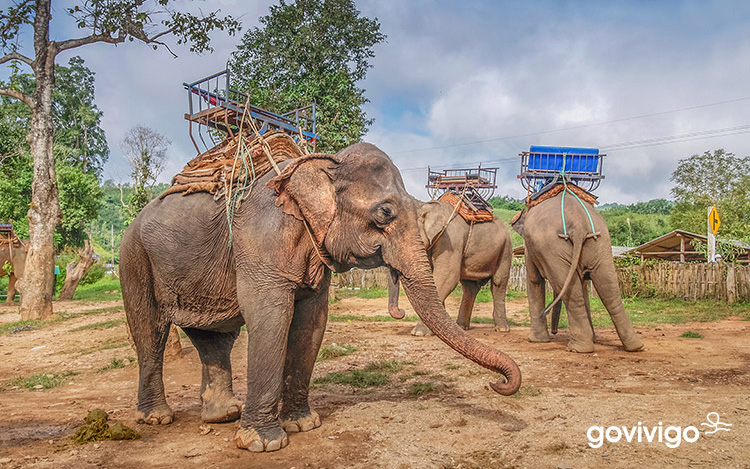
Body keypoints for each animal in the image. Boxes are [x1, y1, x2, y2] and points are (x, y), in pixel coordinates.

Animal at [388, 199, 516, 334]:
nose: (401, 312)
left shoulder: (450, 241)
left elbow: (446, 277)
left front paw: (419, 332)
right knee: (469, 287)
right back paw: (461, 327)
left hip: (506, 249)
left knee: (498, 283)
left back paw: (502, 329)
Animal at [512, 190, 648, 352]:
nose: (555, 332)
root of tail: (578, 224)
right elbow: (583, 285)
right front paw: (594, 338)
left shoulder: (530, 246)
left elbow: (534, 280)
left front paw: (535, 340)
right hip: (599, 243)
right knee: (609, 289)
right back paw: (635, 346)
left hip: (552, 247)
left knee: (569, 288)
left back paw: (577, 348)